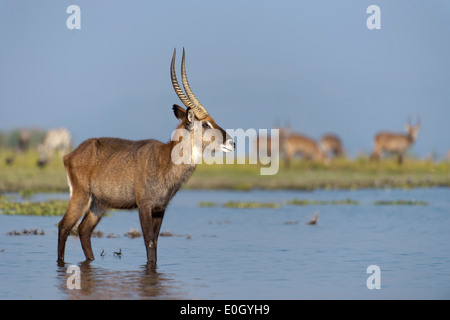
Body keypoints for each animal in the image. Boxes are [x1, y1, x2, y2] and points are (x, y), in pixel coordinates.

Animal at [58, 48, 236, 262]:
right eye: (205, 124)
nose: (232, 142)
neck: (165, 160)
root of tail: (70, 155)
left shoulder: (160, 209)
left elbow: (156, 243)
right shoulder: (144, 205)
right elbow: (149, 241)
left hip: (98, 204)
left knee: (84, 230)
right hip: (81, 196)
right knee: (64, 226)